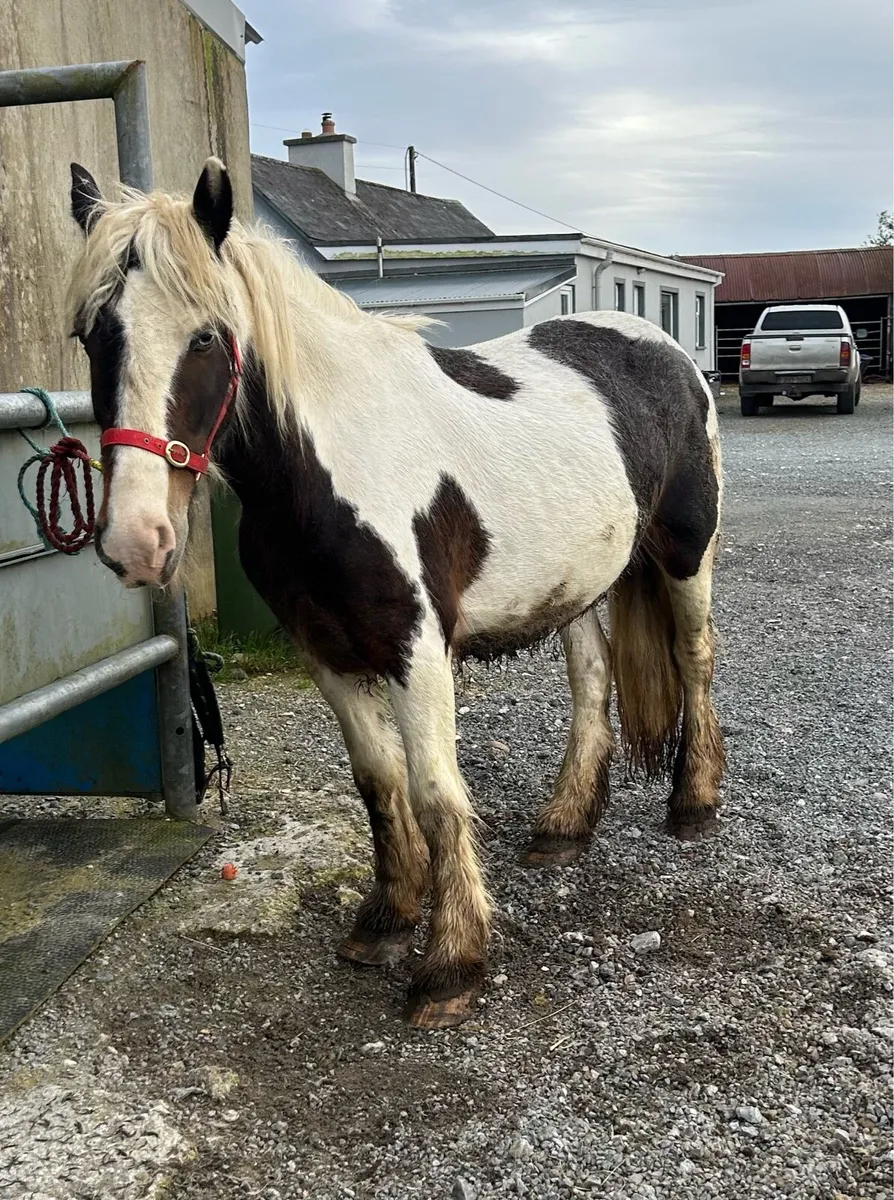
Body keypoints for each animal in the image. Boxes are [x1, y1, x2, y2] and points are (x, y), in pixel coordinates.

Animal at [66, 158, 725, 1029]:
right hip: (579, 584)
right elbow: (379, 782)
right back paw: (564, 827)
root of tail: (663, 350)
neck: (334, 462)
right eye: (92, 335)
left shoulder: (418, 648)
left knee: (694, 660)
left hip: (687, 557)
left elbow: (437, 792)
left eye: (205, 336)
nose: (136, 541)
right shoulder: (325, 652)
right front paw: (384, 920)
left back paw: (693, 804)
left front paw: (451, 964)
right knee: (592, 685)